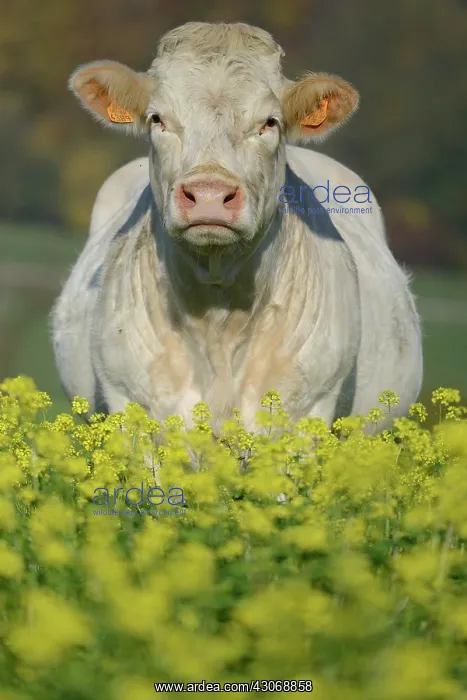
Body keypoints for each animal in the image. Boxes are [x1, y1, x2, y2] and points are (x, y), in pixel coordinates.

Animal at [52, 21, 423, 435]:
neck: (218, 315)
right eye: (157, 119)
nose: (209, 195)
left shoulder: (309, 410)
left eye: (269, 123)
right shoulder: (129, 402)